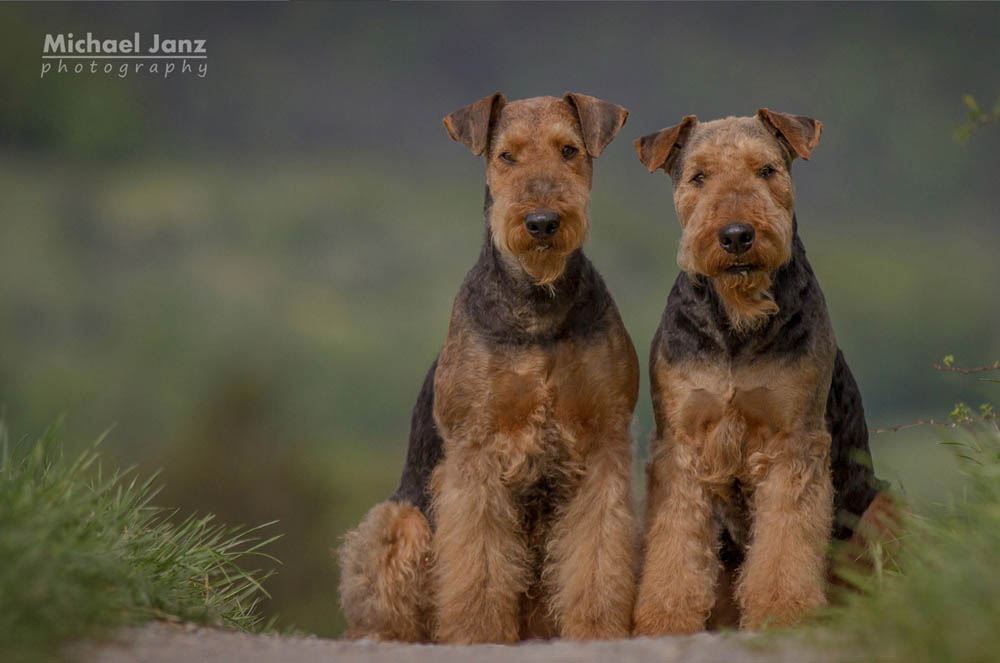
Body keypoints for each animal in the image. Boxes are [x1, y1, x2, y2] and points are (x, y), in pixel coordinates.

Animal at [340, 92, 640, 644]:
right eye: (506, 156)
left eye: (569, 150)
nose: (542, 222)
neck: (539, 307)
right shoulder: (476, 448)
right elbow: (477, 561)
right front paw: (478, 632)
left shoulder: (602, 439)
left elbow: (597, 552)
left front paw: (596, 627)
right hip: (401, 522)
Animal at [632, 109, 892, 632]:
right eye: (699, 176)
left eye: (766, 170)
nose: (736, 235)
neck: (738, 322)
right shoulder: (681, 444)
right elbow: (675, 542)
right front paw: (666, 616)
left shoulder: (793, 440)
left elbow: (785, 539)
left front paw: (782, 609)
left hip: (882, 509)